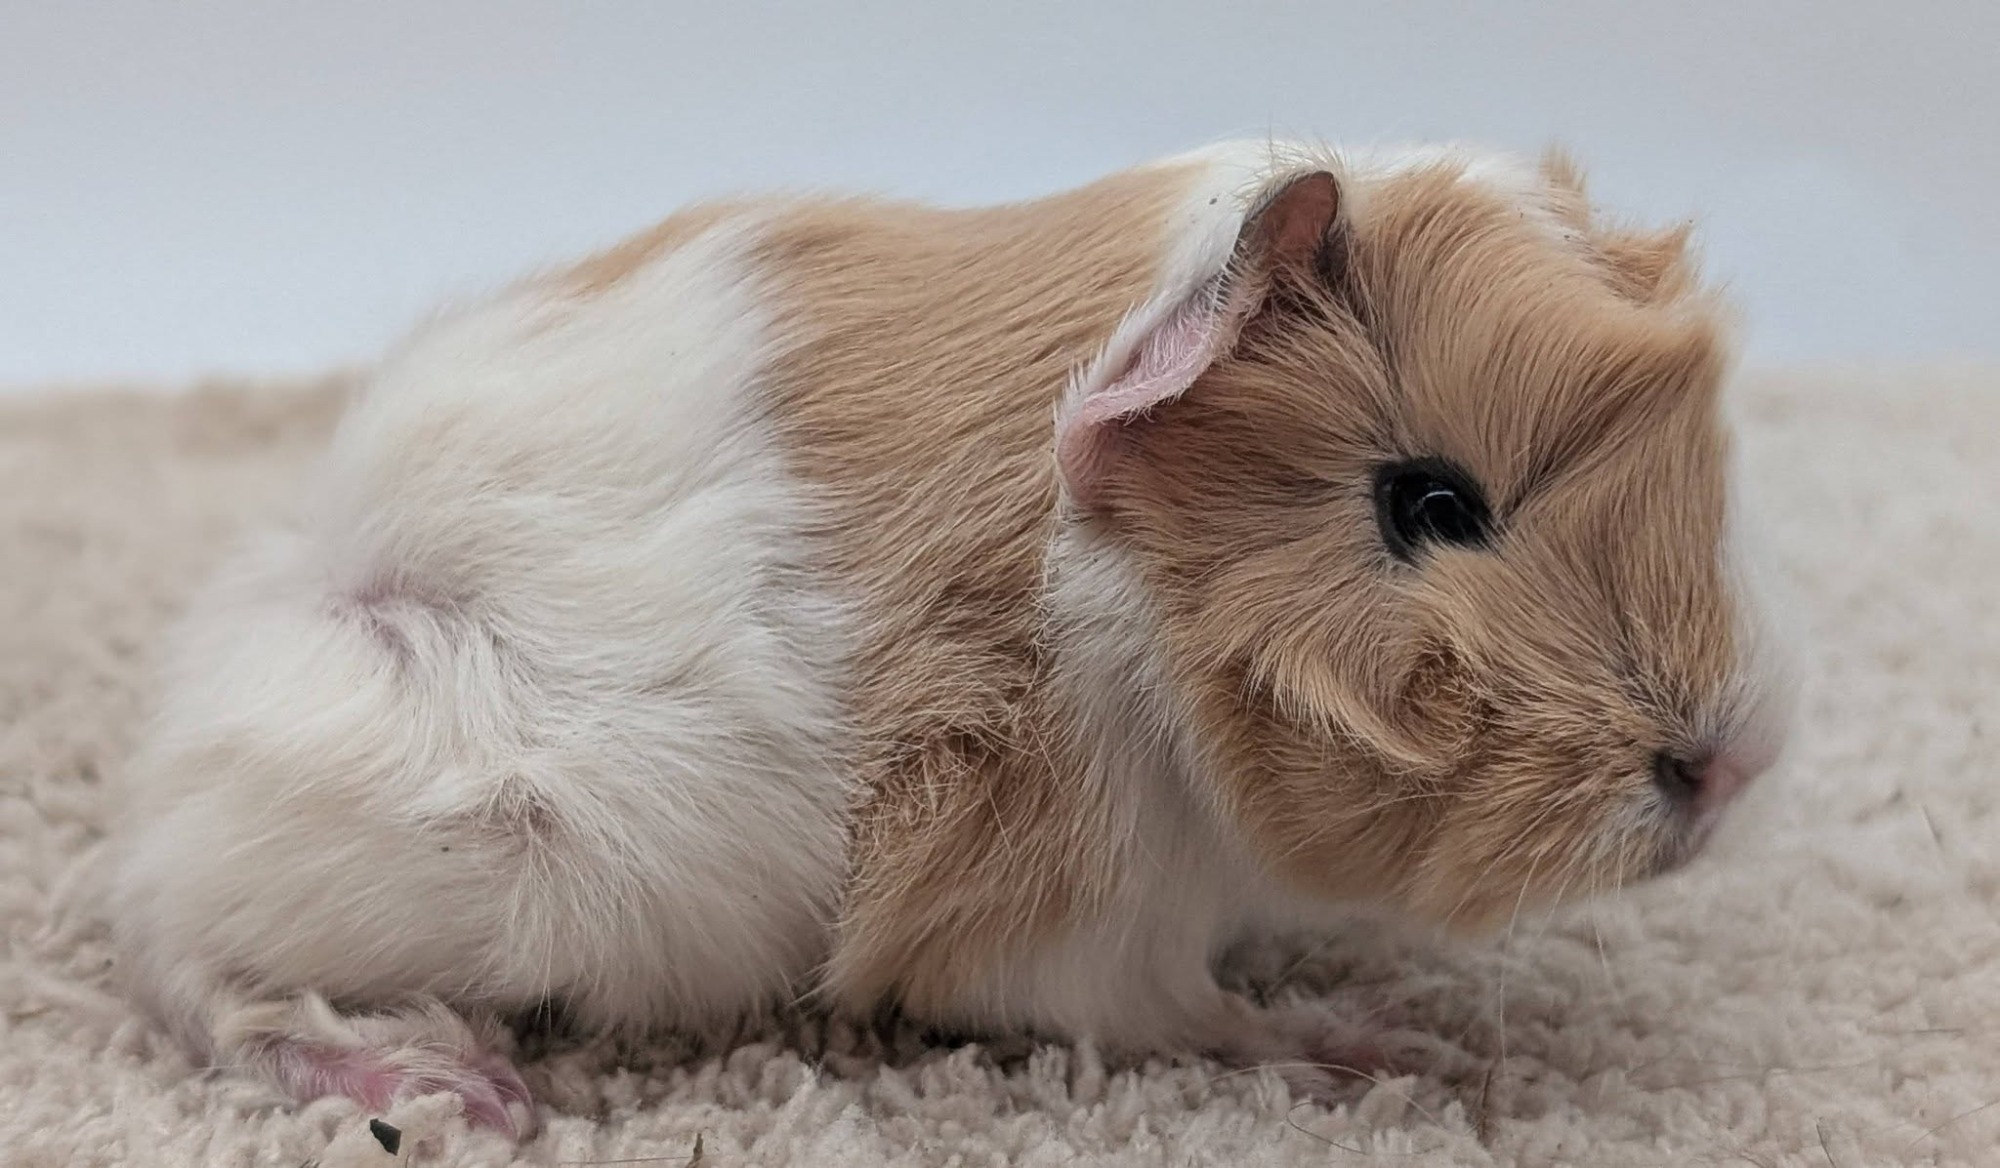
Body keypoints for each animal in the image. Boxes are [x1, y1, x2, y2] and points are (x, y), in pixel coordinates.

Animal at [105, 139, 1791, 1137]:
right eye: (1429, 503)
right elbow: (1201, 1017)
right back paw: (452, 1091)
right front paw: (1397, 1051)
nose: (1730, 767)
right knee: (189, 968)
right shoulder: (1083, 928)